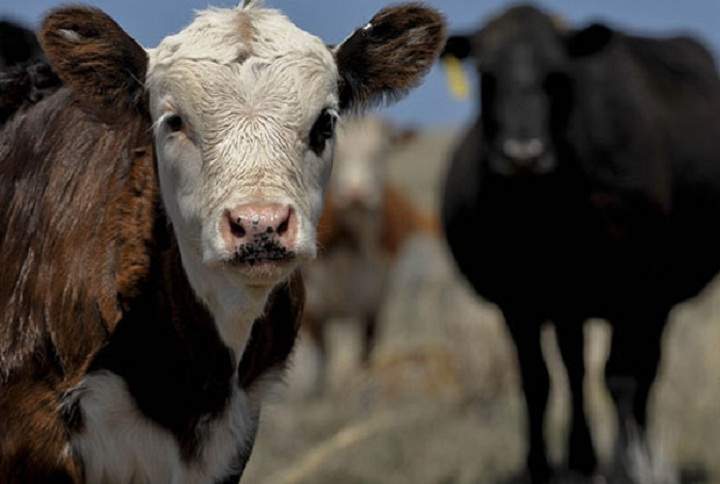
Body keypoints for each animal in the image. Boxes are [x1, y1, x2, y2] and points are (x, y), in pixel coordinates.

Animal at [302, 116, 436, 393]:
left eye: (381, 152)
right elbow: (320, 364)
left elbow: (365, 359)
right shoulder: (312, 310)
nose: (356, 194)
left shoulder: (374, 304)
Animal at [441, 5, 720, 483]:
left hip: (654, 301)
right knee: (574, 368)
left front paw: (626, 463)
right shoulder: (519, 303)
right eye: (486, 75)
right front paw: (540, 465)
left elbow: (621, 376)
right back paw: (581, 456)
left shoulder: (636, 294)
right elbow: (536, 380)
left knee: (643, 372)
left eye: (557, 76)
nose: (522, 154)